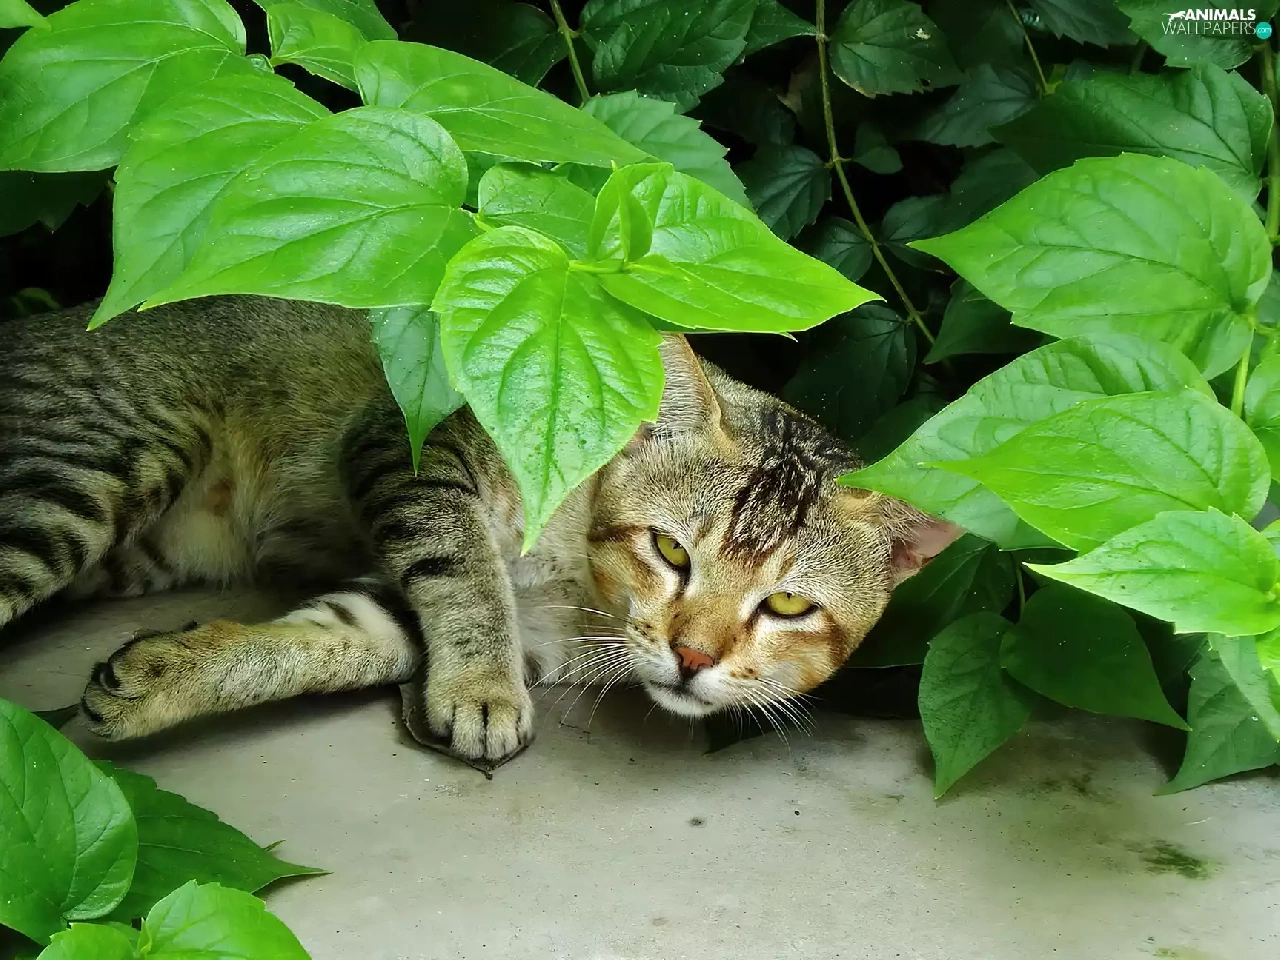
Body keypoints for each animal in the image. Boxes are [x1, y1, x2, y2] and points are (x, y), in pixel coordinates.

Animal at [0, 296, 959, 762]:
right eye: (671, 549)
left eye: (789, 606)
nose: (692, 658)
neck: (582, 593)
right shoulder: (412, 446)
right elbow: (465, 577)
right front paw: (483, 689)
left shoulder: (424, 608)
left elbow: (321, 641)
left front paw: (168, 675)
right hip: (89, 472)